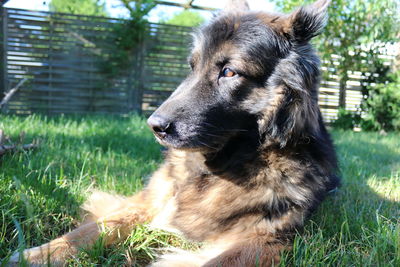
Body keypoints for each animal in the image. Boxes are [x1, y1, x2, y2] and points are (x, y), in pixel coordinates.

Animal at [10, 0, 340, 266]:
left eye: (229, 72)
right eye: (192, 67)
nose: (155, 125)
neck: (222, 165)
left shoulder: (266, 240)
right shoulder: (149, 200)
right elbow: (97, 227)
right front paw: (39, 254)